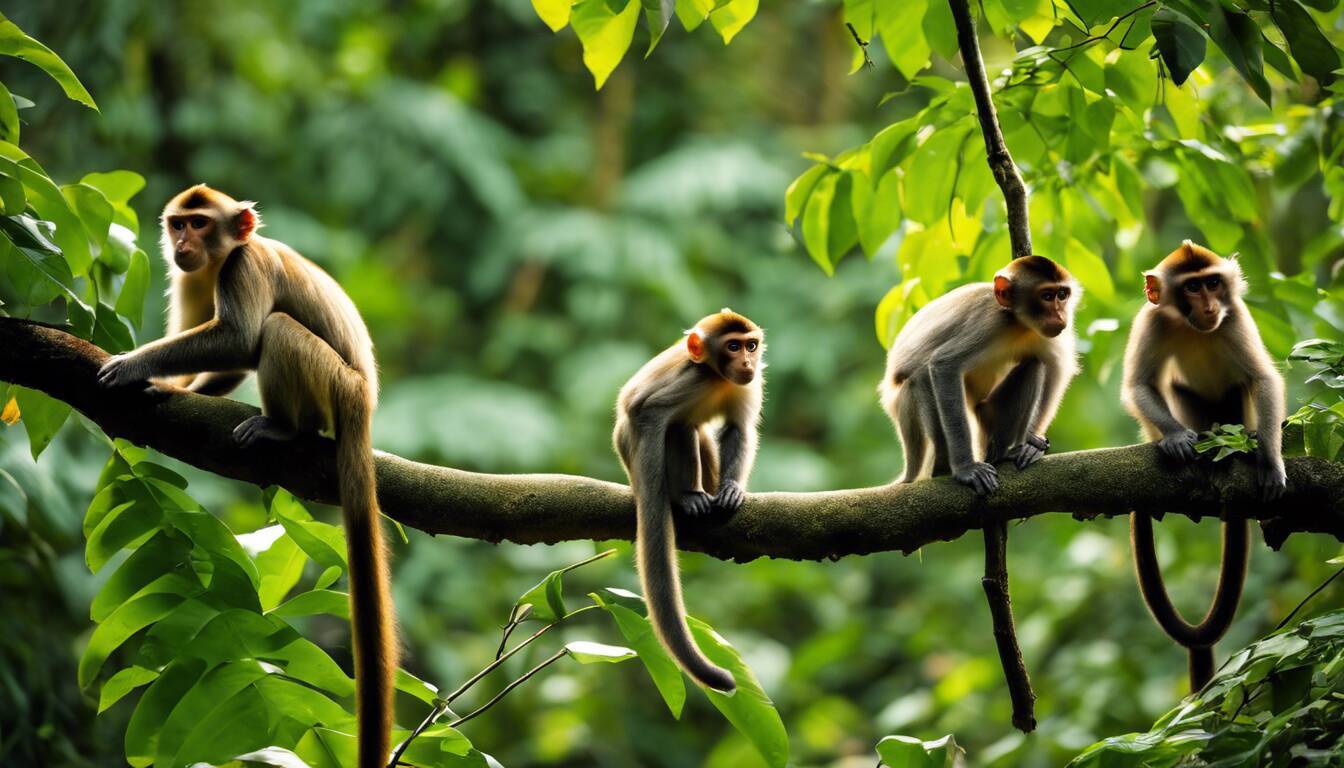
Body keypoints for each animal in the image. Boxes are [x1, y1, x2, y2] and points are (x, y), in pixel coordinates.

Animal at [97, 185, 396, 767]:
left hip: (334, 385)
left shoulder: (244, 266)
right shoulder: (188, 277)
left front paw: (135, 367)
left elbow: (240, 338)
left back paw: (284, 428)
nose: (182, 244)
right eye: (177, 224)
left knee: (275, 330)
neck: (218, 261)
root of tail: (364, 402)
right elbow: (231, 357)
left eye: (199, 223)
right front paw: (169, 386)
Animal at [612, 309, 765, 693]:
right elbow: (645, 410)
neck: (717, 378)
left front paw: (732, 488)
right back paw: (686, 497)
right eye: (732, 346)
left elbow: (738, 428)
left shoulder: (749, 384)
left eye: (751, 346)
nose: (747, 362)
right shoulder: (691, 378)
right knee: (680, 427)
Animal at [878, 255, 1081, 493]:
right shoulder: (989, 323)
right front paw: (966, 469)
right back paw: (944, 468)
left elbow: (1057, 369)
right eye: (1047, 296)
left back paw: (1003, 453)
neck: (1018, 323)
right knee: (918, 380)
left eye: (1062, 294)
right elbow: (944, 365)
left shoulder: (1048, 334)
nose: (1060, 315)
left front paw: (1032, 441)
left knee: (1034, 365)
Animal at [1121, 240, 1285, 691]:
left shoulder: (1236, 318)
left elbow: (1263, 380)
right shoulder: (1151, 321)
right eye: (1192, 288)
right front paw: (1175, 439)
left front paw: (1270, 461)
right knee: (1175, 387)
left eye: (1213, 283)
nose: (1210, 305)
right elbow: (1139, 386)